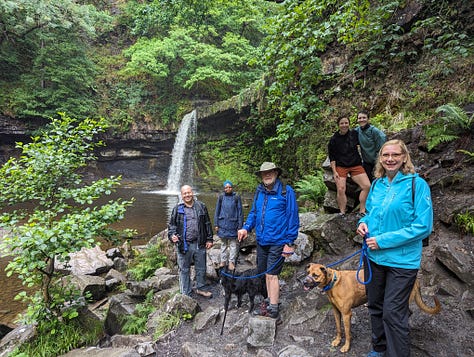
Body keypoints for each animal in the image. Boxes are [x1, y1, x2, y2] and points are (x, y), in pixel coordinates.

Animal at [304, 262, 440, 352]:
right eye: (307, 273)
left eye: (315, 275)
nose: (303, 282)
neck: (334, 281)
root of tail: (416, 278)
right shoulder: (336, 311)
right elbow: (338, 328)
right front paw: (337, 341)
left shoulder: (346, 314)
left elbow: (347, 333)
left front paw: (346, 346)